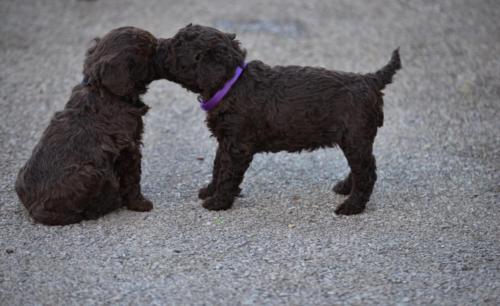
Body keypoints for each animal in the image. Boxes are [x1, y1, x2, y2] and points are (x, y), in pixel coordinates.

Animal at [15, 26, 160, 225]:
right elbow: (132, 178)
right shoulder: (129, 147)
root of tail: (33, 210)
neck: (104, 91)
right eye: (149, 52)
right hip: (91, 173)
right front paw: (140, 204)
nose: (162, 47)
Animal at [156, 23, 402, 215]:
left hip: (355, 136)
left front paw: (218, 201)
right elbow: (218, 166)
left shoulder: (237, 146)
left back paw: (352, 206)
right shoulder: (226, 140)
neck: (231, 84)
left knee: (367, 172)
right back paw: (345, 187)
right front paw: (210, 190)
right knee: (361, 167)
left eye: (177, 45)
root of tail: (370, 80)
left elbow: (227, 172)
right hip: (354, 139)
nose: (158, 46)